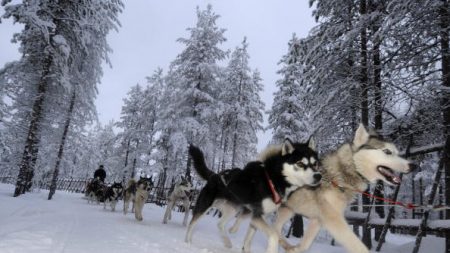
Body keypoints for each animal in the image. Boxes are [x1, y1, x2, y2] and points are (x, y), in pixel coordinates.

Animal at [185, 138, 322, 253]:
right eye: (300, 163)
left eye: (315, 164)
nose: (318, 176)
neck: (274, 180)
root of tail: (215, 175)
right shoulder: (257, 215)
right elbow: (274, 235)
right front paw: (272, 248)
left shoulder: (257, 216)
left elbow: (248, 239)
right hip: (204, 206)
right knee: (192, 224)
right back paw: (187, 242)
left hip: (233, 209)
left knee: (220, 224)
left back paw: (227, 242)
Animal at [244, 124, 416, 253]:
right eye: (387, 152)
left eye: (397, 152)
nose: (413, 165)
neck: (341, 174)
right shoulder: (333, 219)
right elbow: (357, 245)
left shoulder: (318, 219)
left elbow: (305, 244)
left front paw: (295, 249)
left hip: (288, 211)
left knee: (274, 228)